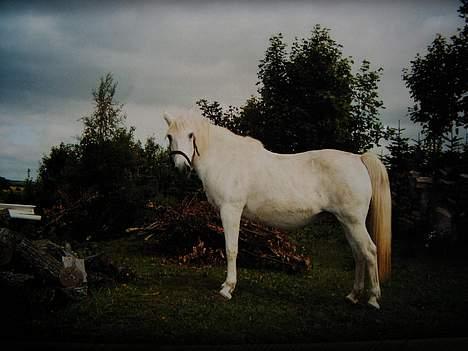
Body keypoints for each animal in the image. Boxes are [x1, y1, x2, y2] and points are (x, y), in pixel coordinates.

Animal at [165, 114, 392, 310]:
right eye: (169, 136)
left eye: (191, 135)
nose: (181, 168)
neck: (226, 159)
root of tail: (358, 159)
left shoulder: (230, 211)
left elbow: (231, 250)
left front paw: (227, 288)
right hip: (346, 222)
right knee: (358, 253)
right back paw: (353, 296)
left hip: (353, 221)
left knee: (369, 251)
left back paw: (373, 299)